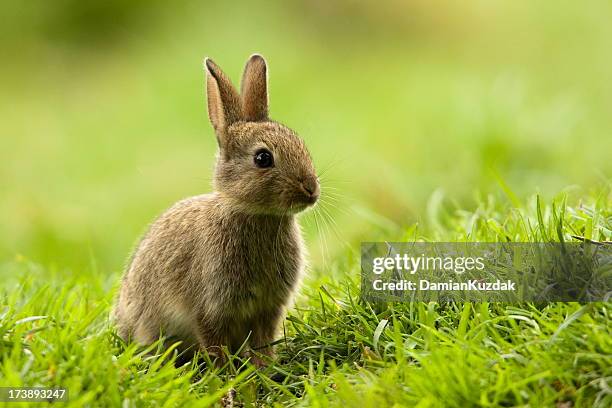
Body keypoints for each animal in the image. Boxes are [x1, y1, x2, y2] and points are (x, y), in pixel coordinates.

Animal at [113, 55, 320, 366]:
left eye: (301, 144)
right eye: (263, 158)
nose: (311, 189)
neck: (255, 215)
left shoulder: (268, 308)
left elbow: (263, 339)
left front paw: (266, 368)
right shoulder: (210, 306)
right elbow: (214, 341)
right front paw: (226, 376)